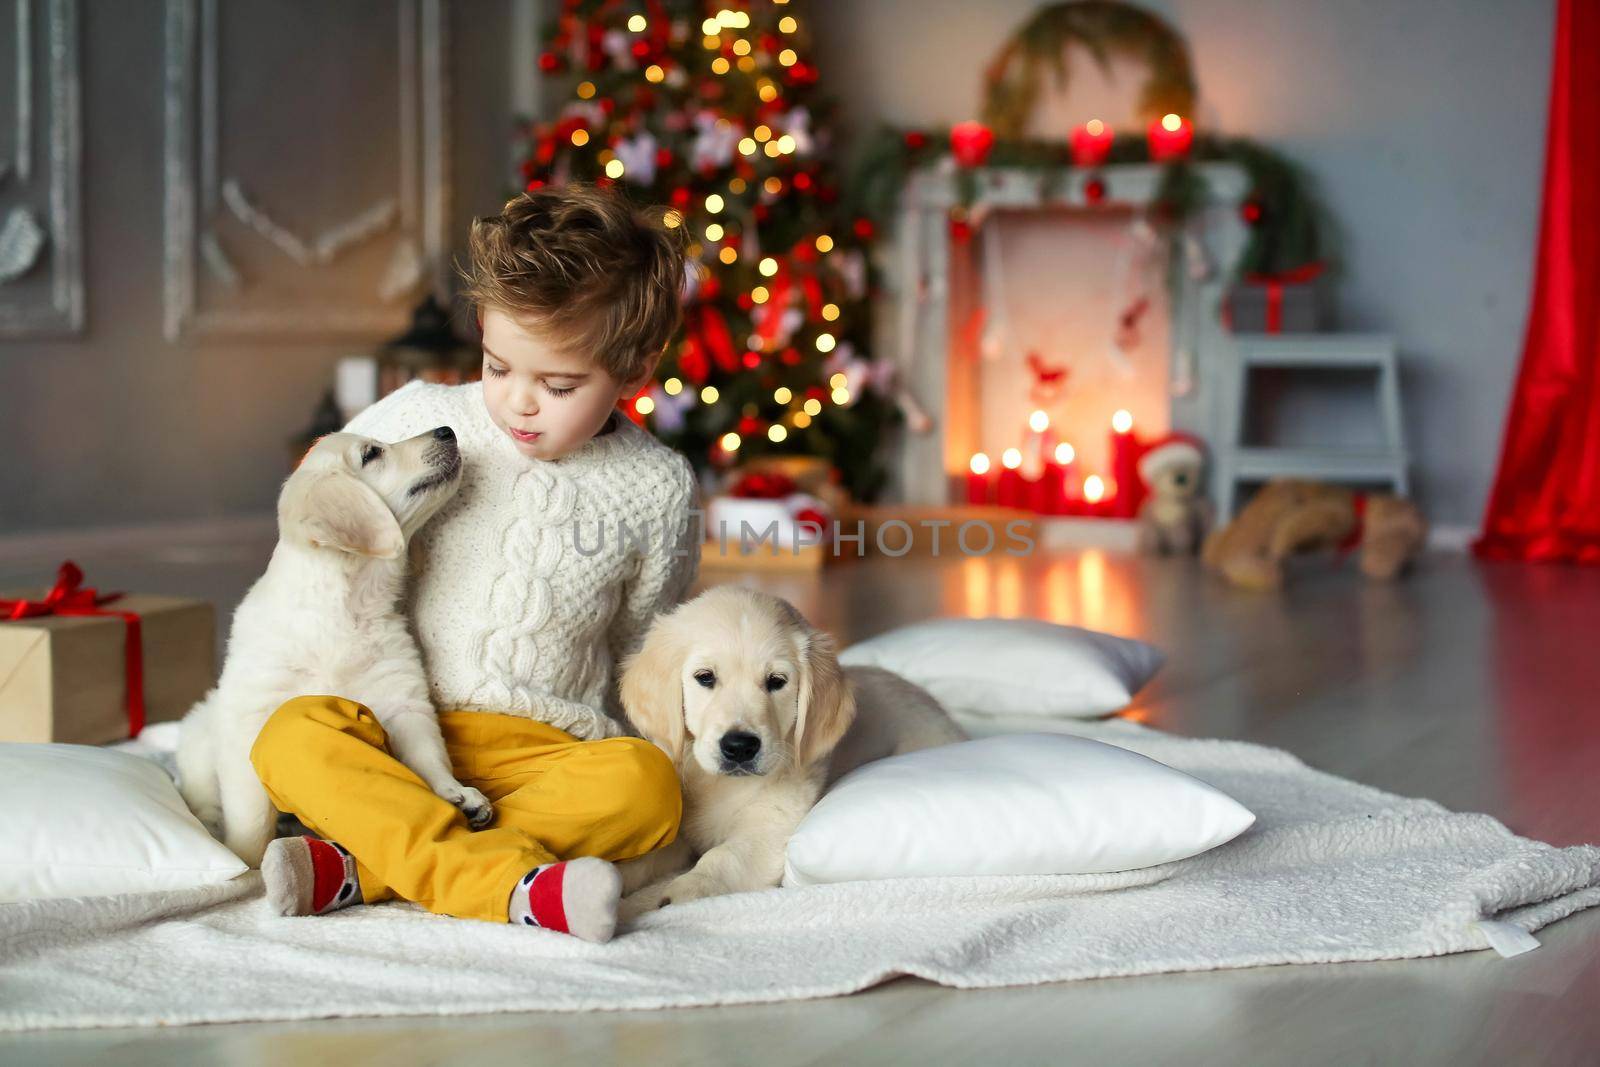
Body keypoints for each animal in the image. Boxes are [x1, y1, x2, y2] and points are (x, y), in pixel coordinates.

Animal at [611, 585, 960, 921]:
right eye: (705, 677)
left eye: (776, 681)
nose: (740, 747)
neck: (722, 786)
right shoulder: (680, 829)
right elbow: (649, 854)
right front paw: (616, 872)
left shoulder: (770, 829)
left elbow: (723, 857)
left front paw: (684, 888)